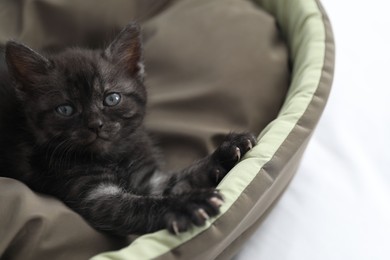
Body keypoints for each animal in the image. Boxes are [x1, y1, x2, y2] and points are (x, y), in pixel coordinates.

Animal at [0, 22, 256, 236]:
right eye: (65, 109)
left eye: (112, 98)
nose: (95, 124)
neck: (113, 157)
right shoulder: (95, 197)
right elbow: (141, 205)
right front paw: (187, 204)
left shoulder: (149, 178)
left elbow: (183, 177)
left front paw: (227, 152)